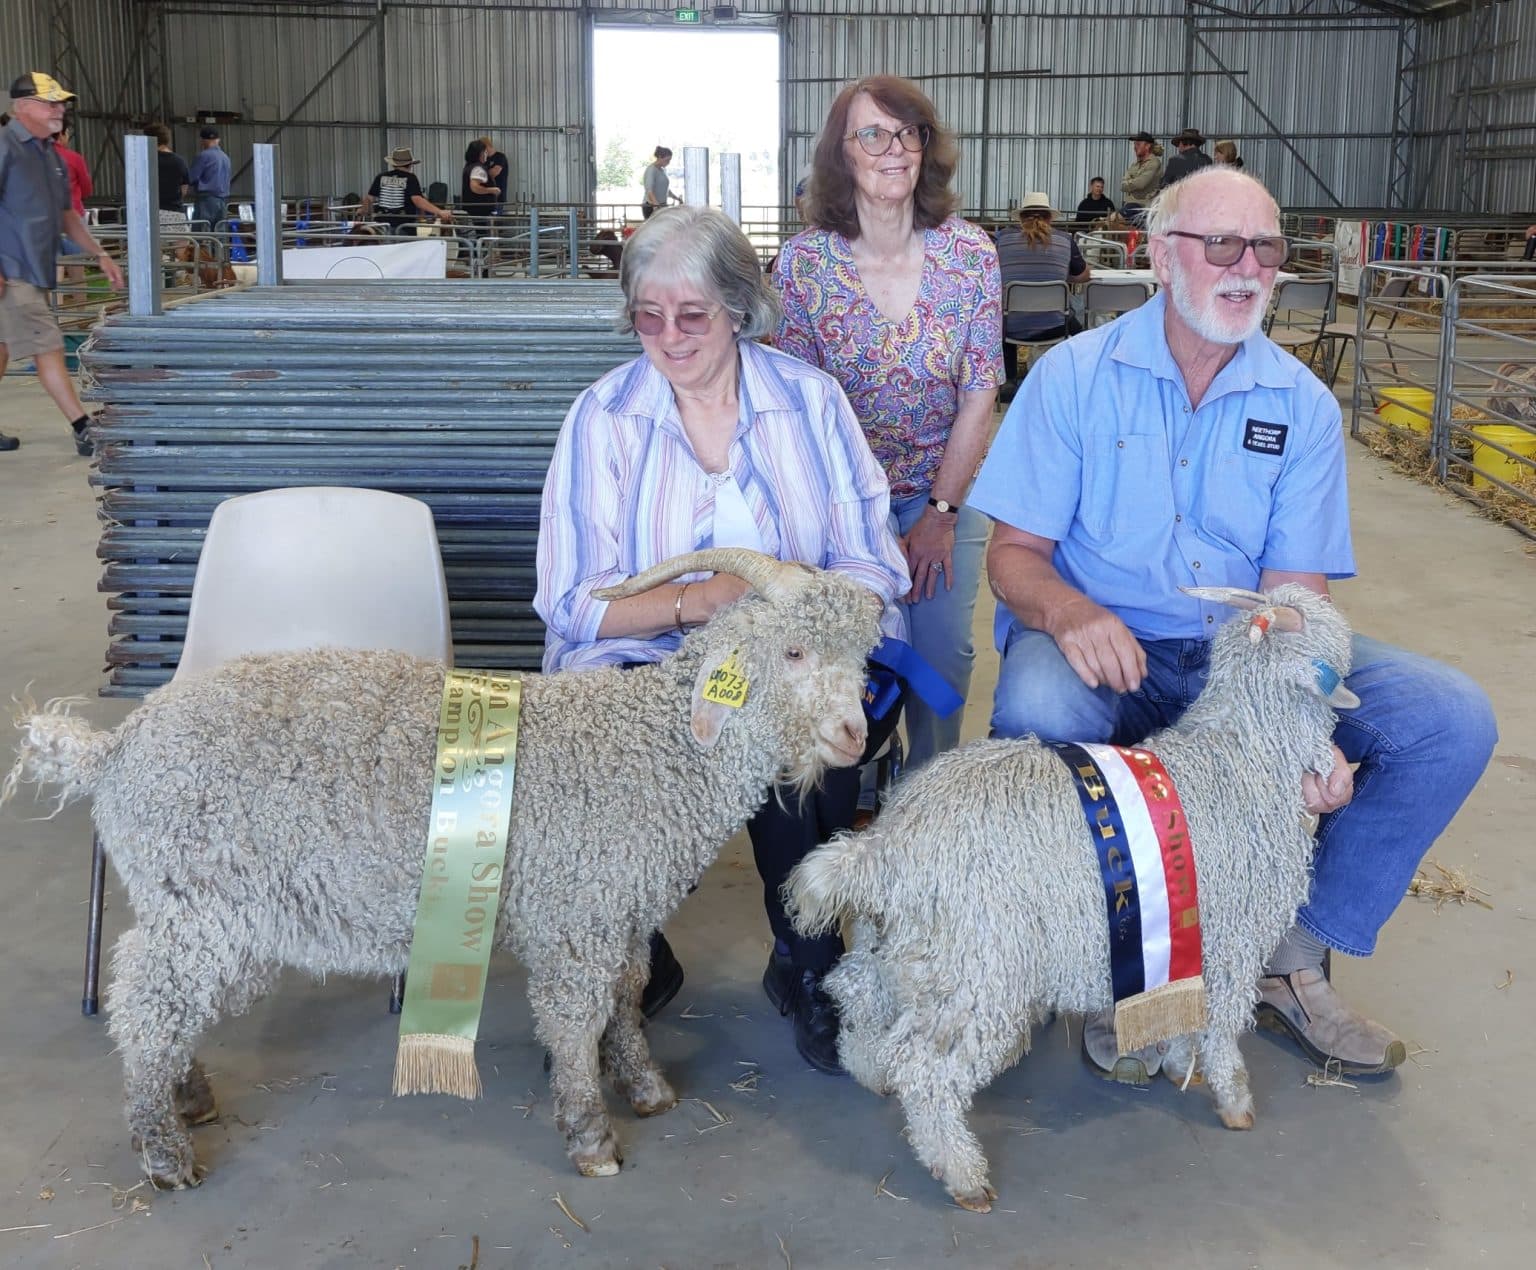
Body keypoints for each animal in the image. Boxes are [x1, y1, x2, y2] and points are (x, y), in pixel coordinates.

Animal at [3, 546, 890, 1191]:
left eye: (862, 658)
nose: (854, 736)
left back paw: (186, 1097)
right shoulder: (575, 917)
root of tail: (115, 749)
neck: (650, 749)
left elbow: (627, 998)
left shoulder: (621, 911)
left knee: (161, 997)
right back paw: (162, 1149)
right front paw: (591, 1136)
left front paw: (645, 1088)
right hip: (197, 901)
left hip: (196, 910)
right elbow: (575, 1020)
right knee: (146, 1003)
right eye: (794, 651)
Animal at [792, 586, 1357, 1210]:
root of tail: (885, 847)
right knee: (927, 1070)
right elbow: (1220, 1028)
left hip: (901, 947)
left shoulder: (1187, 948)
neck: (1241, 759)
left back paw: (870, 1071)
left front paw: (1179, 1063)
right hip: (978, 968)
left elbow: (1184, 1018)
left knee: (858, 996)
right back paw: (964, 1175)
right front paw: (1234, 1100)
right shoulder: (1231, 944)